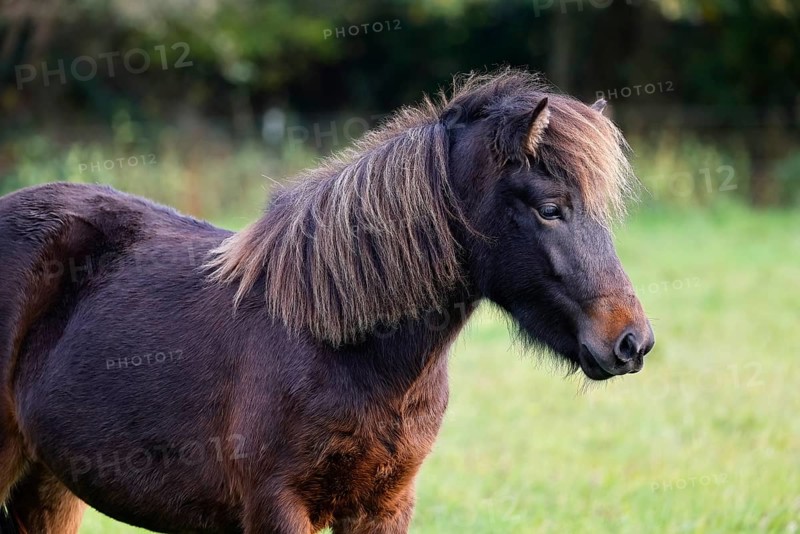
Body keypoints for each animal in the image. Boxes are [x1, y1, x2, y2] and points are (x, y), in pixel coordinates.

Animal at [0, 70, 654, 533]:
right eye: (550, 208)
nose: (632, 342)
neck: (340, 345)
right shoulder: (277, 506)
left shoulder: (385, 507)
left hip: (48, 486)